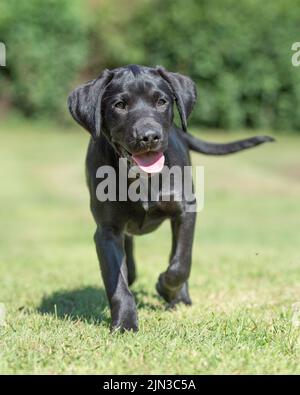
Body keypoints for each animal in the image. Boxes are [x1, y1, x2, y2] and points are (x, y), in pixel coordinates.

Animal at [68, 64, 274, 332]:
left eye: (161, 101)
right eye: (120, 105)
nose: (149, 136)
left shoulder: (186, 209)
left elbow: (180, 263)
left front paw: (165, 287)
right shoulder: (107, 230)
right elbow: (117, 281)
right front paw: (124, 322)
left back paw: (179, 297)